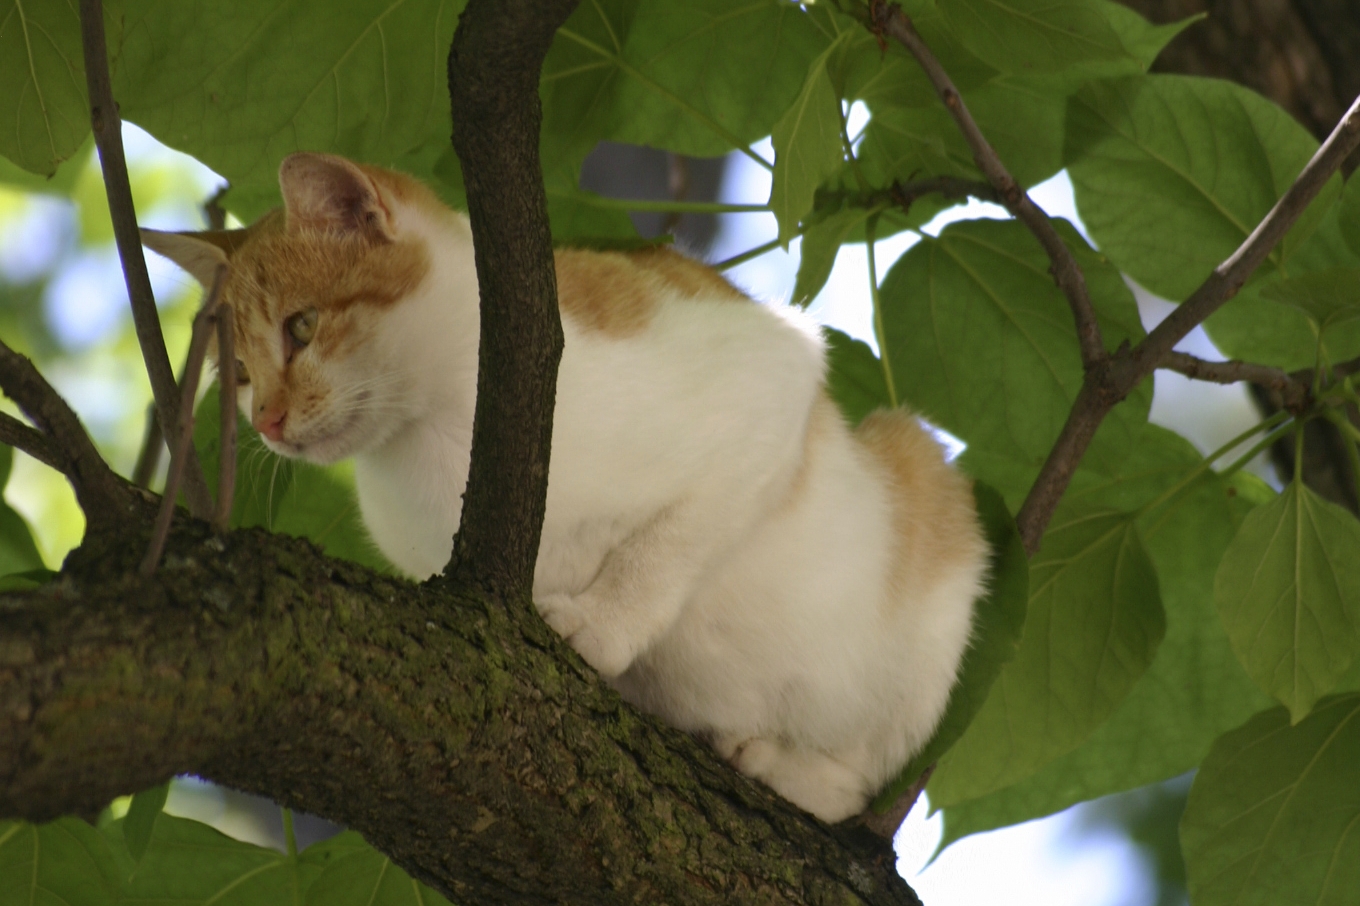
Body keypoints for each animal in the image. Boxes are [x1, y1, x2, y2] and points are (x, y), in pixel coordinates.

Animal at [143, 151, 984, 821]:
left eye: (303, 328)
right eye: (238, 372)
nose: (268, 420)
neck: (436, 433)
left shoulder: (774, 373)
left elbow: (664, 545)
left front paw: (601, 625)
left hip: (927, 498)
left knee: (860, 774)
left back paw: (791, 769)